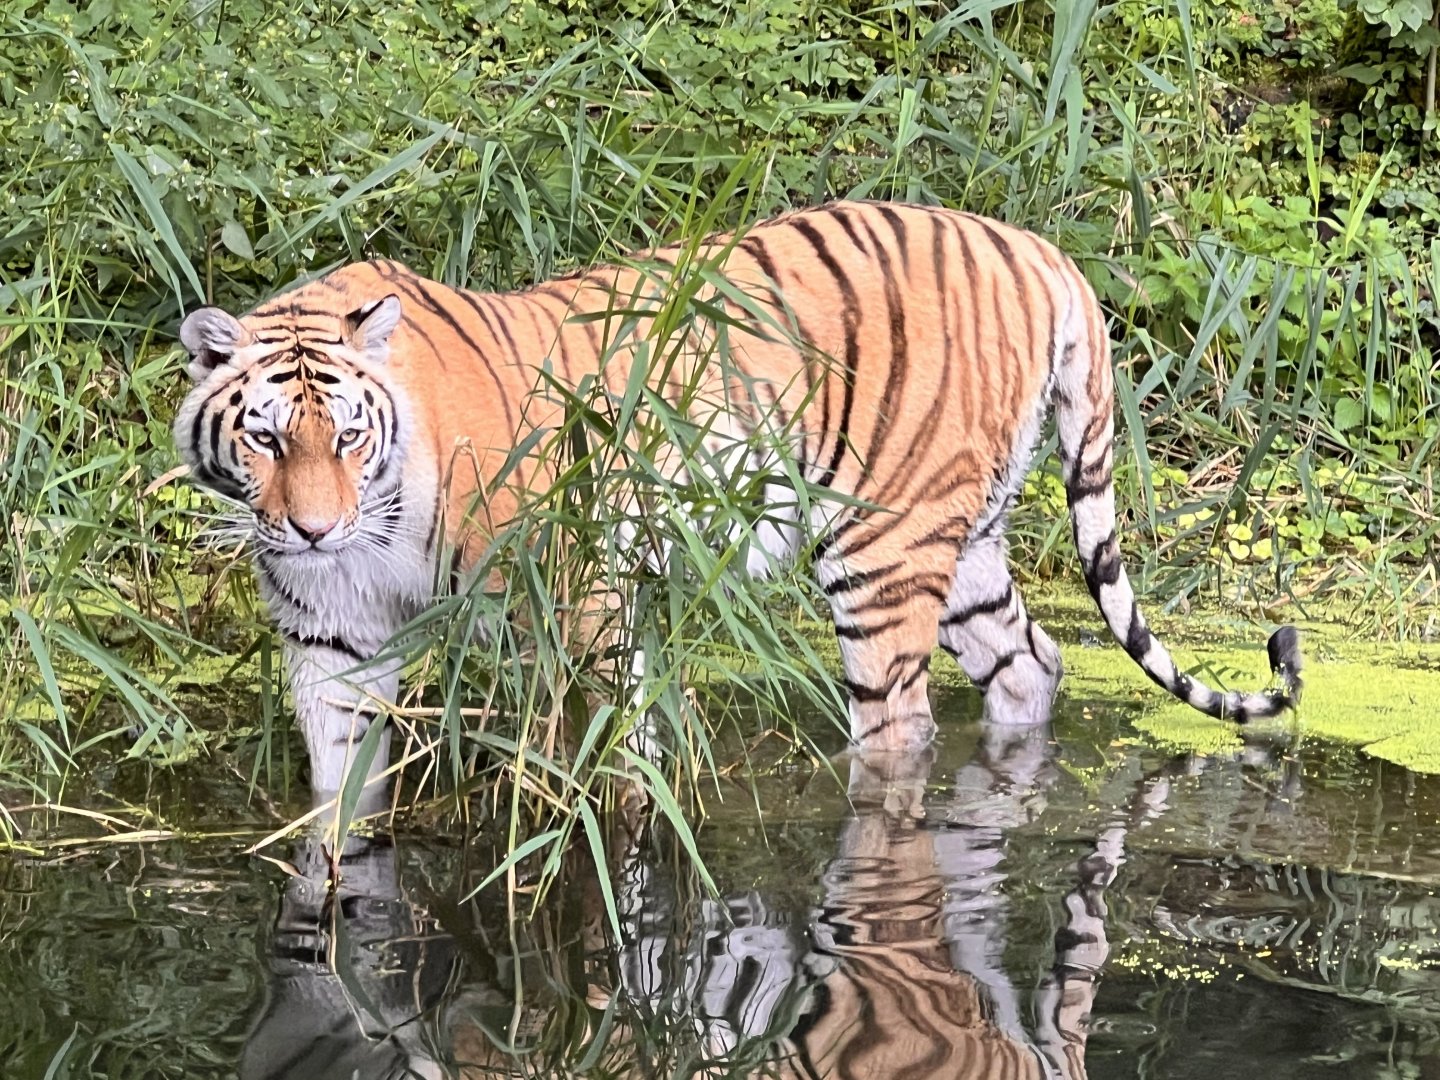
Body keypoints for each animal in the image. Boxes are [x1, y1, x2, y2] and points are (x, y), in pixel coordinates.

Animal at [173, 200, 1303, 795]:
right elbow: (339, 796)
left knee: (898, 718)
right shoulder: (333, 640)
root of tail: (1038, 251)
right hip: (969, 538)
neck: (370, 529)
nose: (312, 527)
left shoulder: (575, 602)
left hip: (883, 547)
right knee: (1035, 661)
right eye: (266, 438)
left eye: (347, 437)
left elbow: (607, 754)